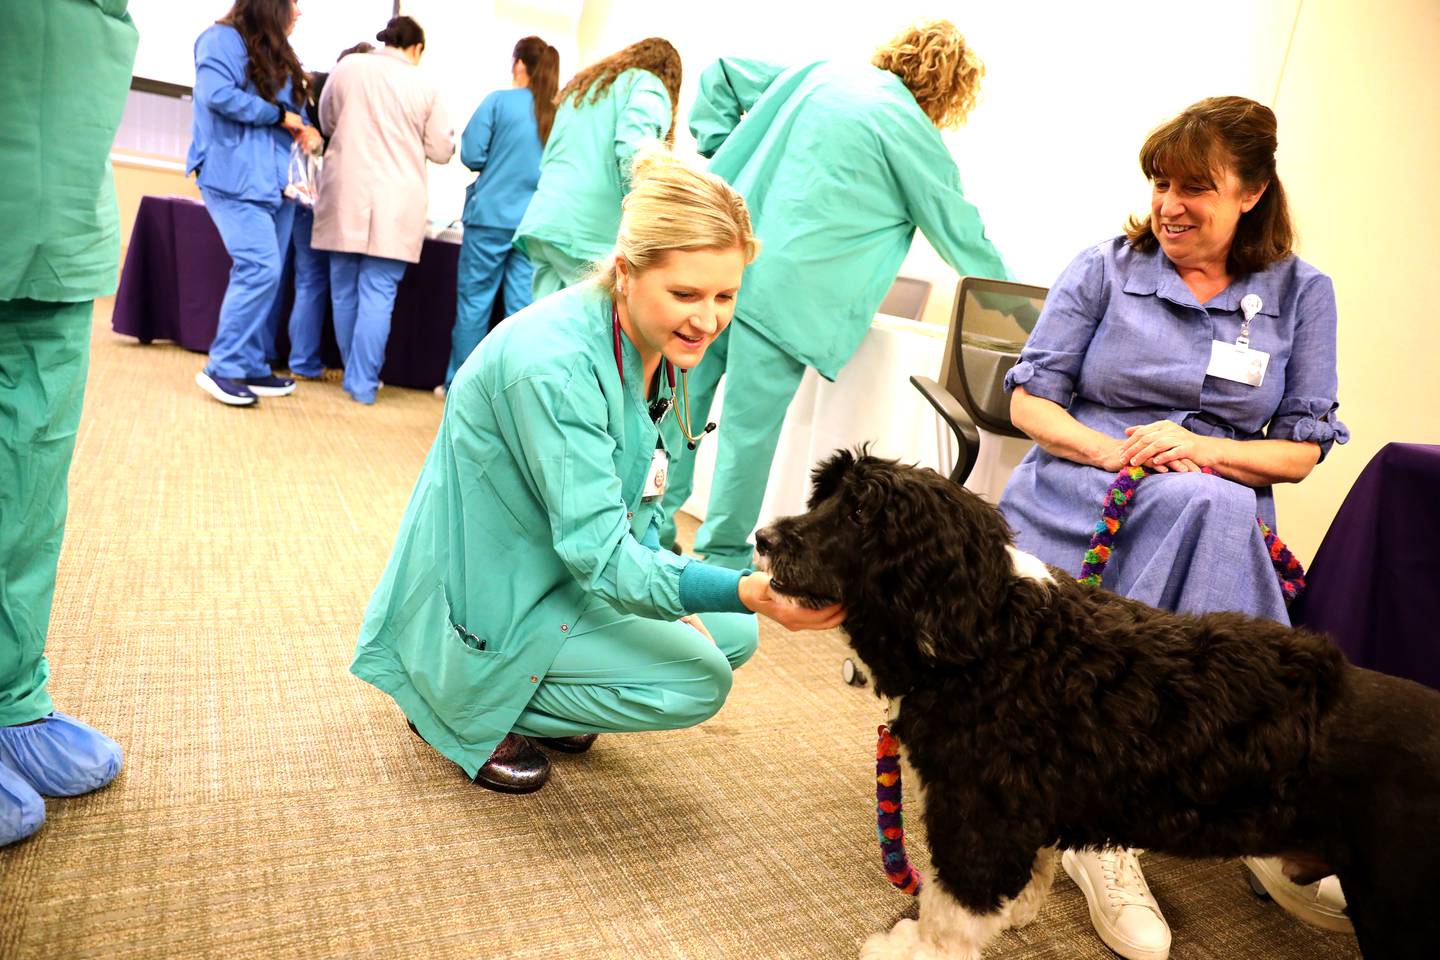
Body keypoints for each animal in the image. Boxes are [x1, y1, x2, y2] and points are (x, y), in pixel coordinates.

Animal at [754, 451, 1440, 960]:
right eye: (823, 499)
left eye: (860, 515)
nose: (762, 537)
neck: (991, 632)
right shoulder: (1025, 808)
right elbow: (1027, 873)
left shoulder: (979, 819)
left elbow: (950, 917)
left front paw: (907, 950)